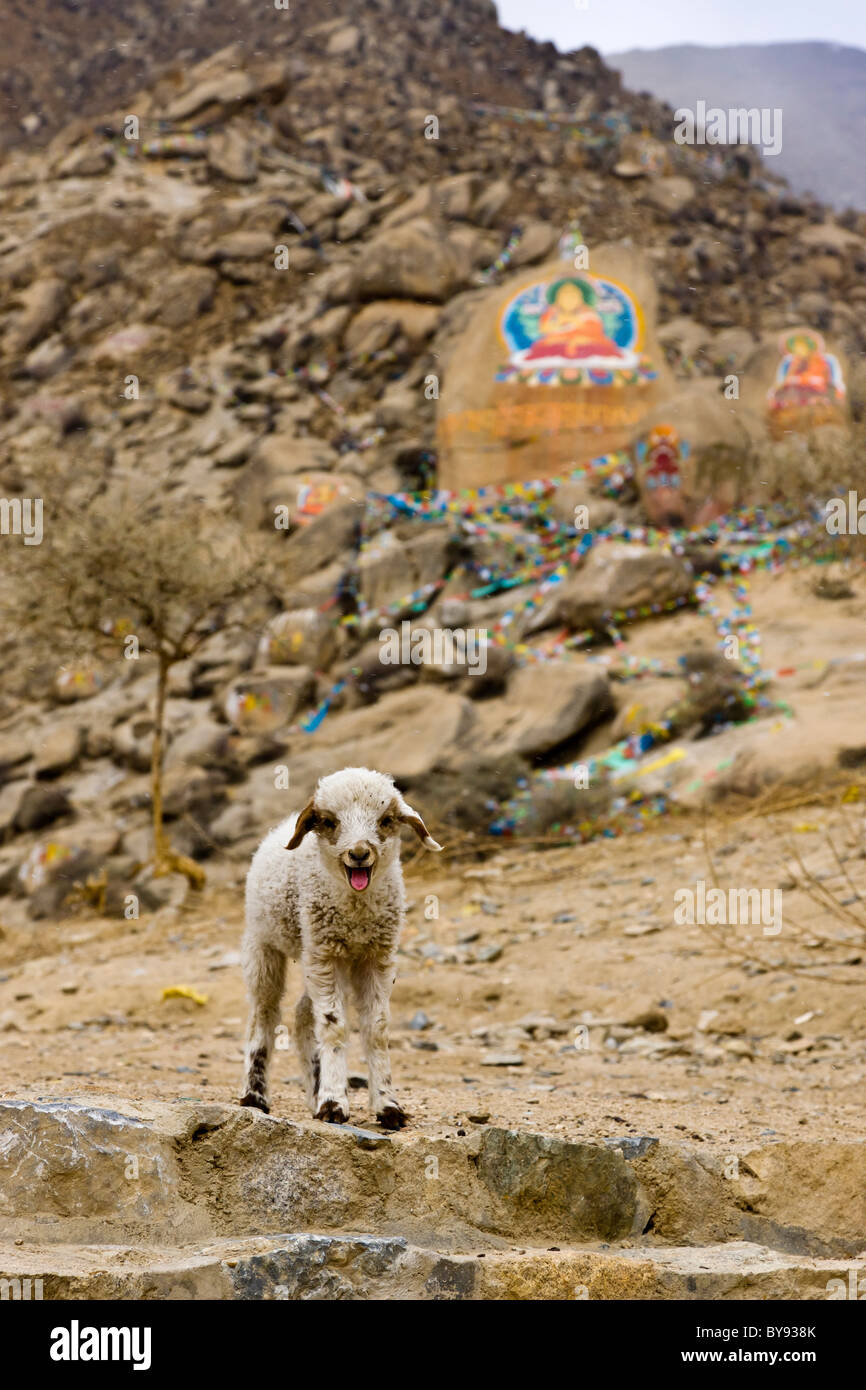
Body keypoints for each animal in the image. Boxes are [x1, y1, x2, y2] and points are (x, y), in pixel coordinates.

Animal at [239, 767, 439, 1123]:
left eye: (386, 820)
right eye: (329, 821)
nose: (358, 854)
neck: (355, 915)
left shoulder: (376, 956)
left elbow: (376, 1029)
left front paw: (388, 1105)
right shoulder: (324, 954)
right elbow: (334, 1027)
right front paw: (333, 1103)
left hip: (320, 957)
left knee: (304, 1014)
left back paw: (314, 1089)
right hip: (264, 944)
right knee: (263, 1014)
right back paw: (255, 1095)